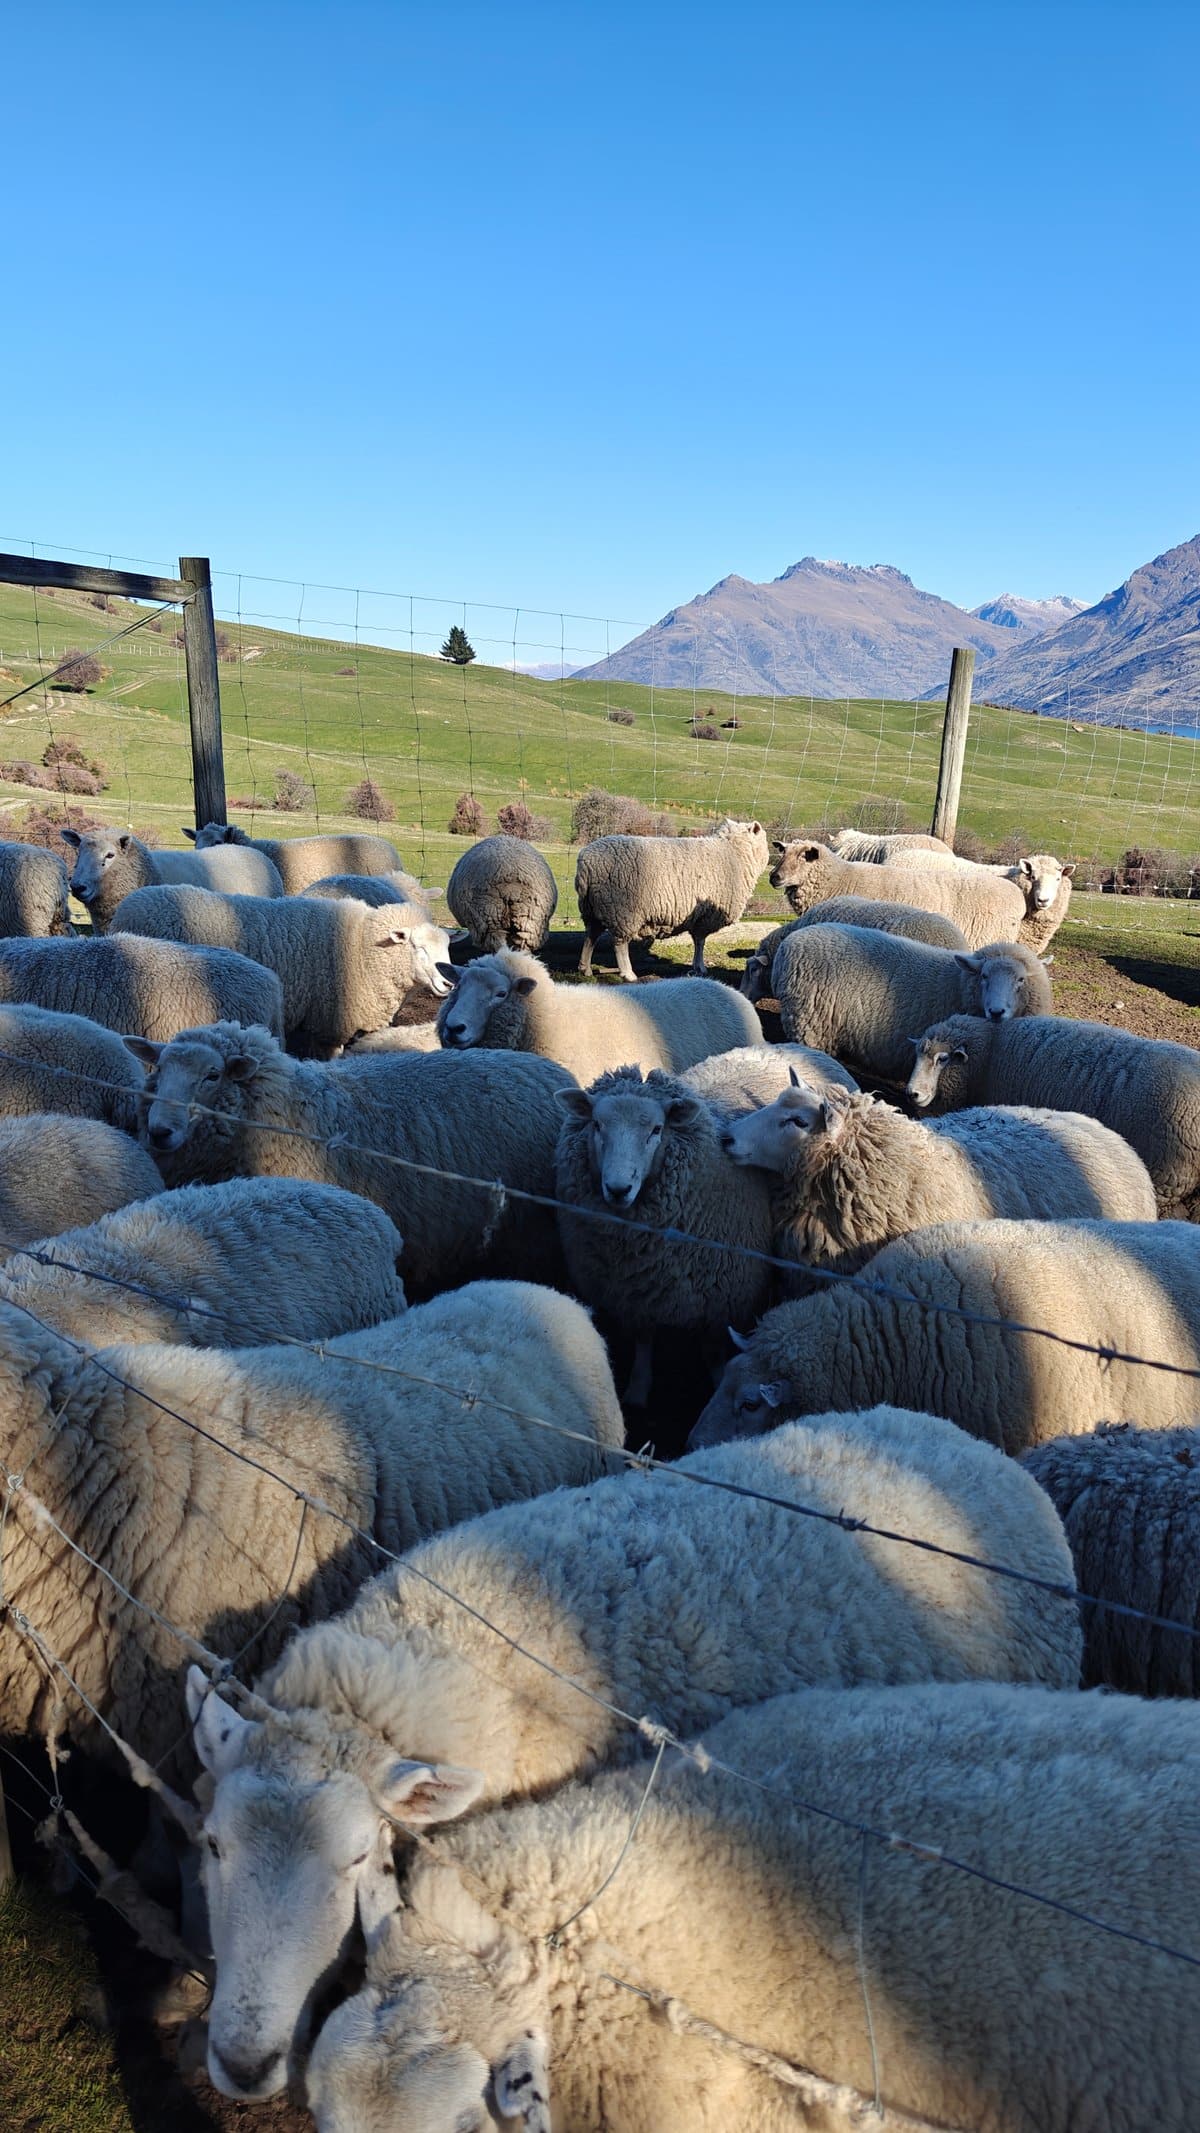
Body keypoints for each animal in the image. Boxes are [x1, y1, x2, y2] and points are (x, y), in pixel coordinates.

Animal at [111, 884, 451, 1057]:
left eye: (447, 946)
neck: (362, 943)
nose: (448, 984)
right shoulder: (328, 1023)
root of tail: (129, 905)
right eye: (418, 947)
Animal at [128, 1021, 572, 1297]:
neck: (286, 1110)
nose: (159, 1131)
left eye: (212, 1075)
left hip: (530, 1234)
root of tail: (553, 1073)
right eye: (159, 1068)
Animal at [554, 1064, 774, 1402]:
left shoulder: (722, 1300)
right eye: (597, 1125)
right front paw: (637, 1389)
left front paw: (718, 1384)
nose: (618, 1189)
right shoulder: (633, 1294)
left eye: (657, 1130)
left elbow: (713, 1353)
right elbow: (644, 1340)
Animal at [575, 817, 768, 980]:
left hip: (593, 907)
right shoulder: (707, 916)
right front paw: (700, 966)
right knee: (619, 944)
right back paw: (628, 973)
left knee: (591, 936)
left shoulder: (699, 916)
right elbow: (700, 942)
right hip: (622, 910)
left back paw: (585, 968)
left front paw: (697, 966)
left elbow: (698, 942)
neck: (734, 853)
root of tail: (587, 863)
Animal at [769, 924, 1051, 1083]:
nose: (996, 1012)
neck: (958, 985)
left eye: (1021, 980)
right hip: (809, 1024)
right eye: (984, 976)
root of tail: (790, 941)